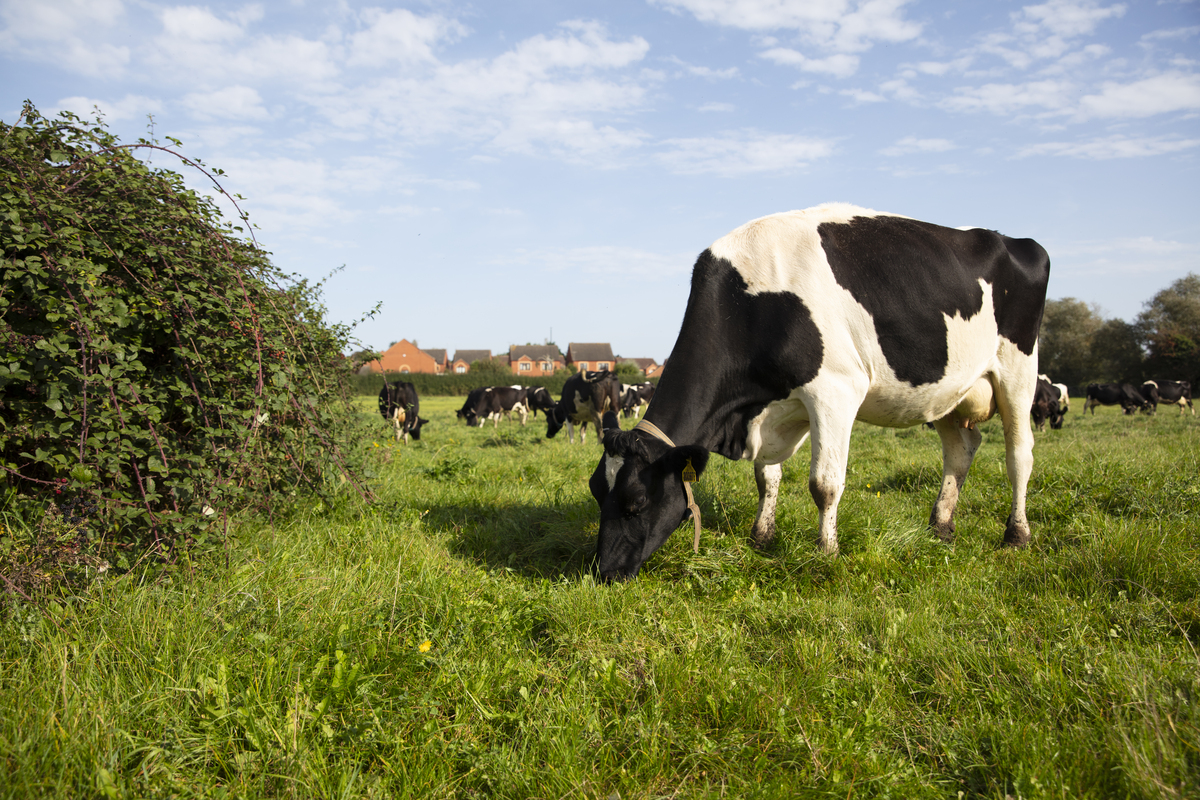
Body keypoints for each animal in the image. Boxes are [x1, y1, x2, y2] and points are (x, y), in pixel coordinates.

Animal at [587, 203, 1051, 581]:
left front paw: (826, 551)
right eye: (595, 490)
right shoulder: (776, 408)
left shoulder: (835, 390)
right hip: (947, 391)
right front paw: (762, 536)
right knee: (961, 449)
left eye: (636, 501)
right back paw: (940, 528)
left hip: (1018, 370)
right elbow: (767, 477)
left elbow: (824, 483)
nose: (605, 573)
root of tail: (1013, 241)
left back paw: (1016, 535)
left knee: (1019, 456)